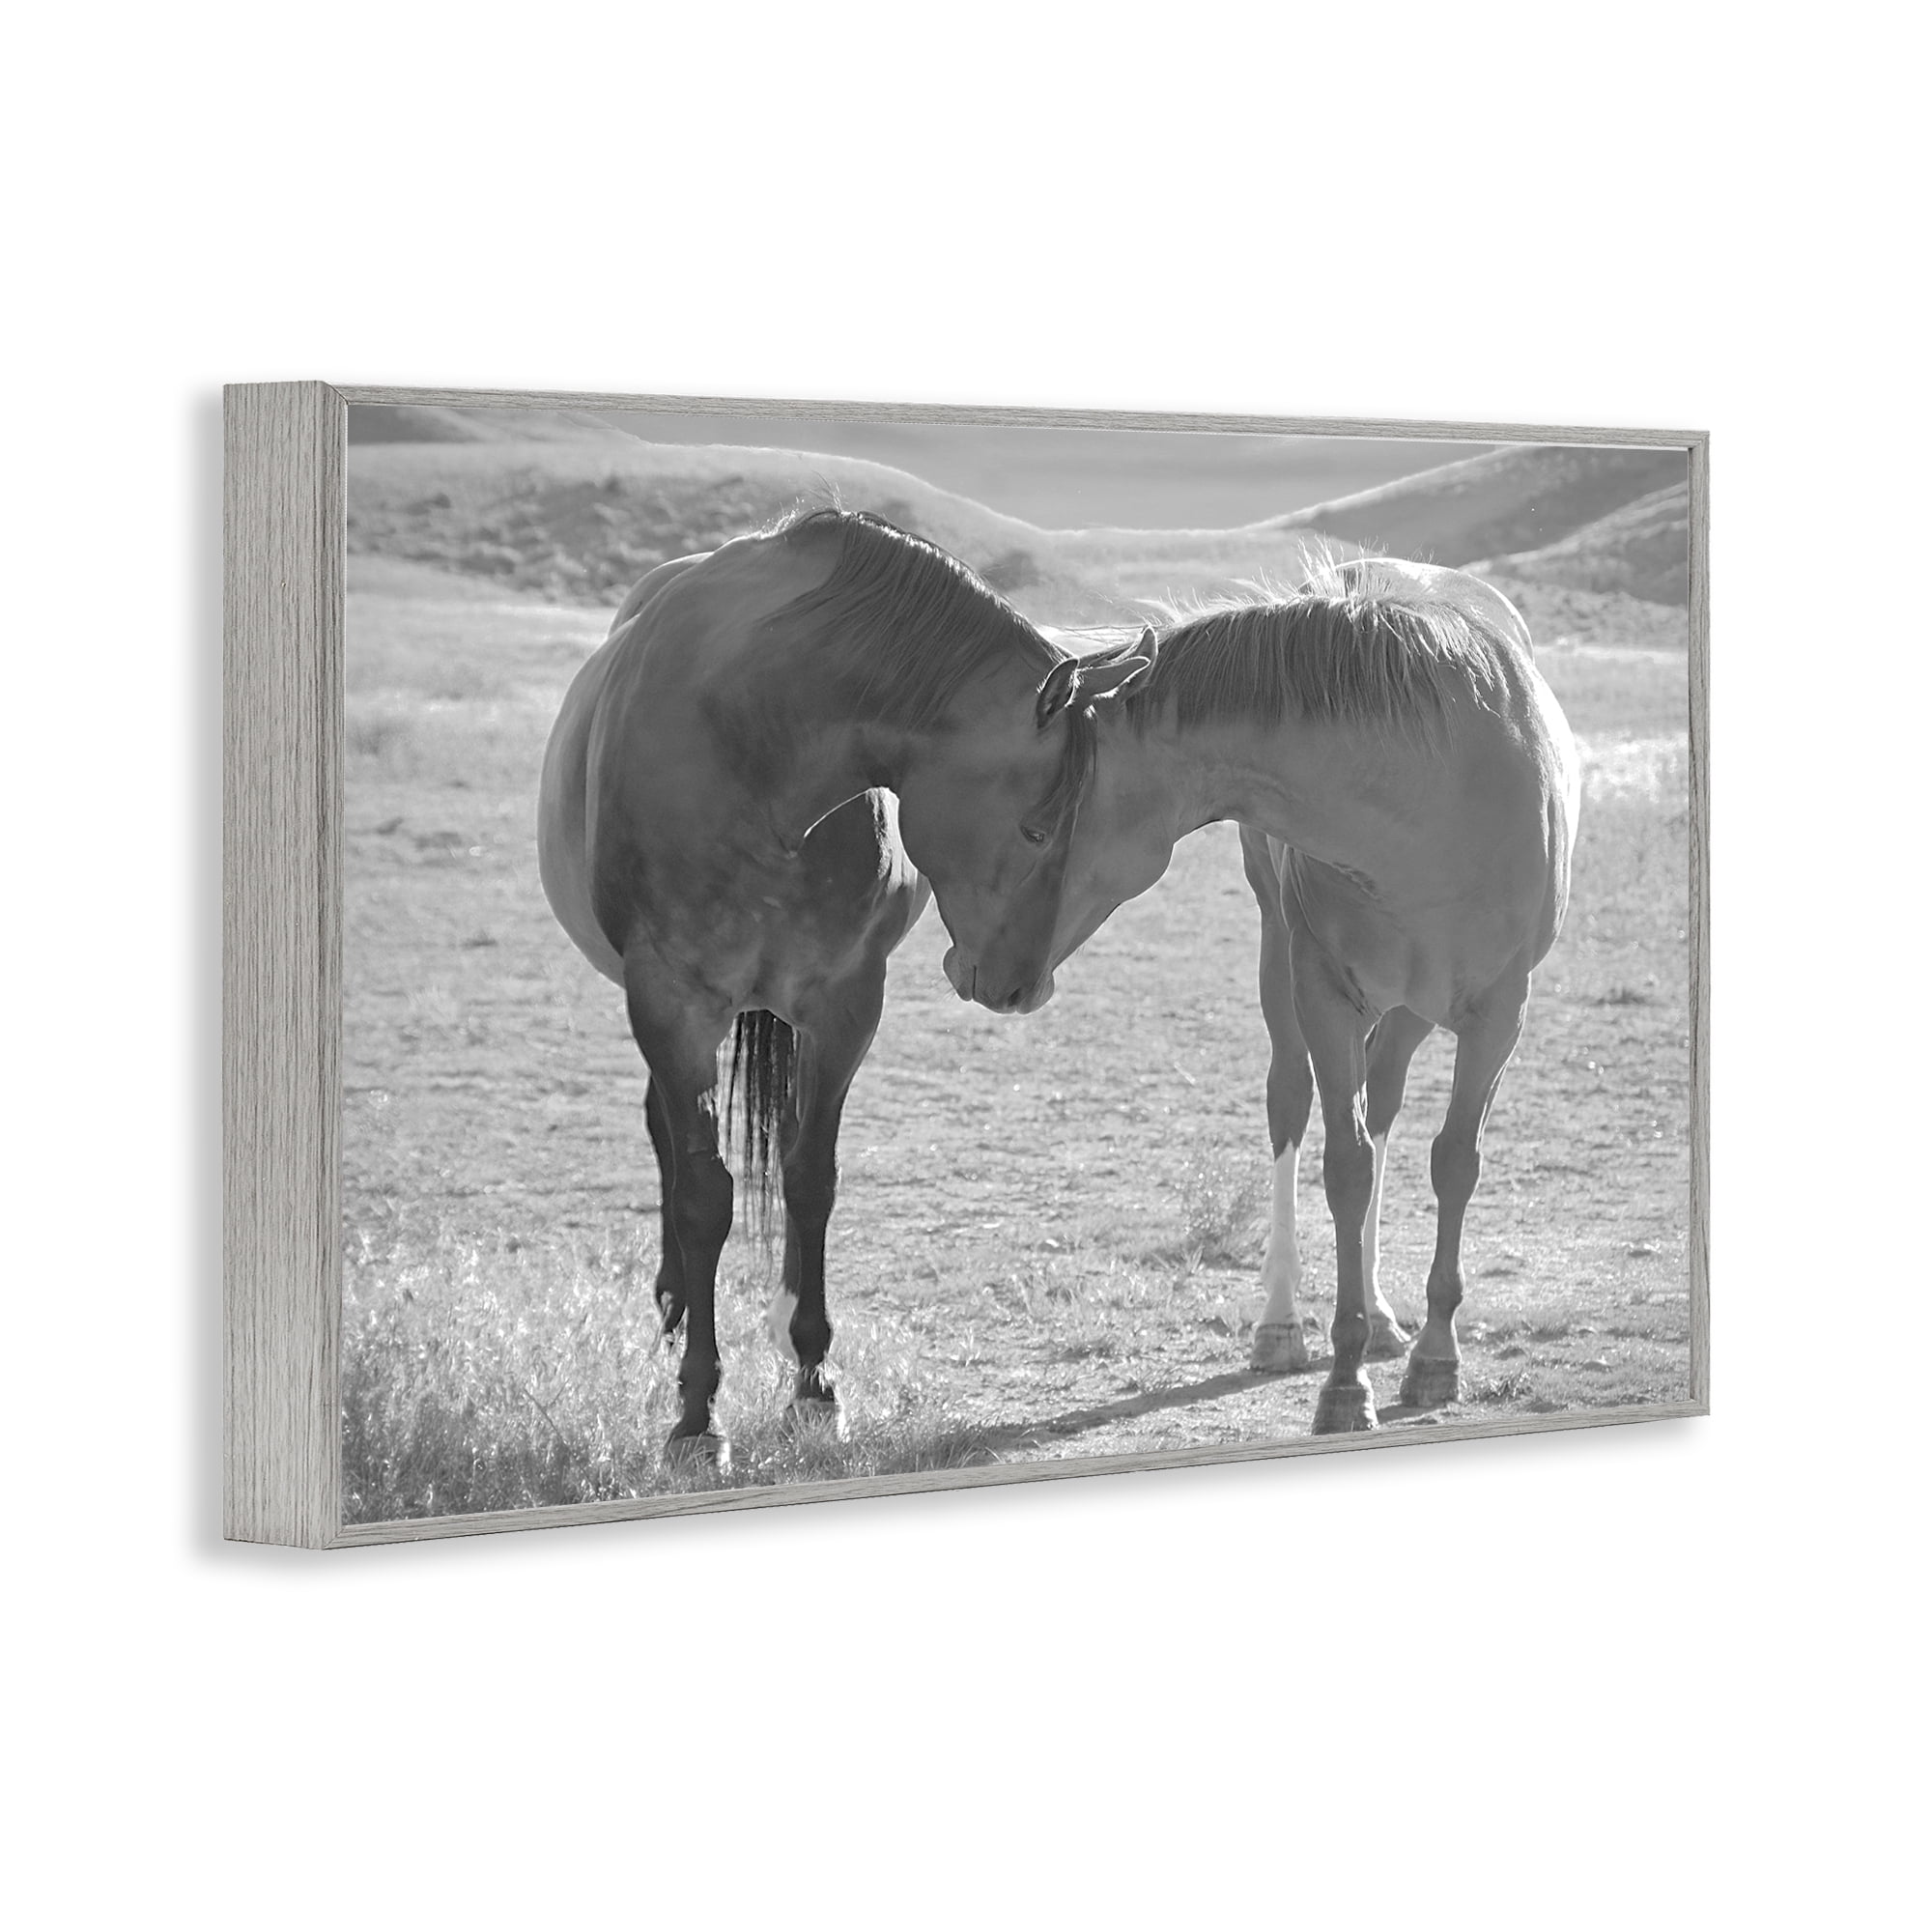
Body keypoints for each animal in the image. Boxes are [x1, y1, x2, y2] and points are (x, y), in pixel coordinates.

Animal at [537, 507, 1148, 1470]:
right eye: (1037, 827)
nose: (1023, 987)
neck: (754, 742)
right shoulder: (670, 1003)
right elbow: (706, 1194)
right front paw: (697, 1414)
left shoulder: (844, 1002)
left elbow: (809, 1177)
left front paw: (814, 1381)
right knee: (667, 1140)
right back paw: (673, 1302)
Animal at [971, 556, 1579, 1434]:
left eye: (1034, 827)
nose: (979, 974)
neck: (1430, 793)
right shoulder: (1321, 991)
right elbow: (1345, 1167)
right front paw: (1345, 1381)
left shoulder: (1500, 1012)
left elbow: (1453, 1162)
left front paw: (1435, 1357)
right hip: (1283, 964)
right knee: (1293, 1103)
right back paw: (1283, 1324)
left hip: (1409, 1009)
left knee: (1385, 1104)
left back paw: (1387, 1316)